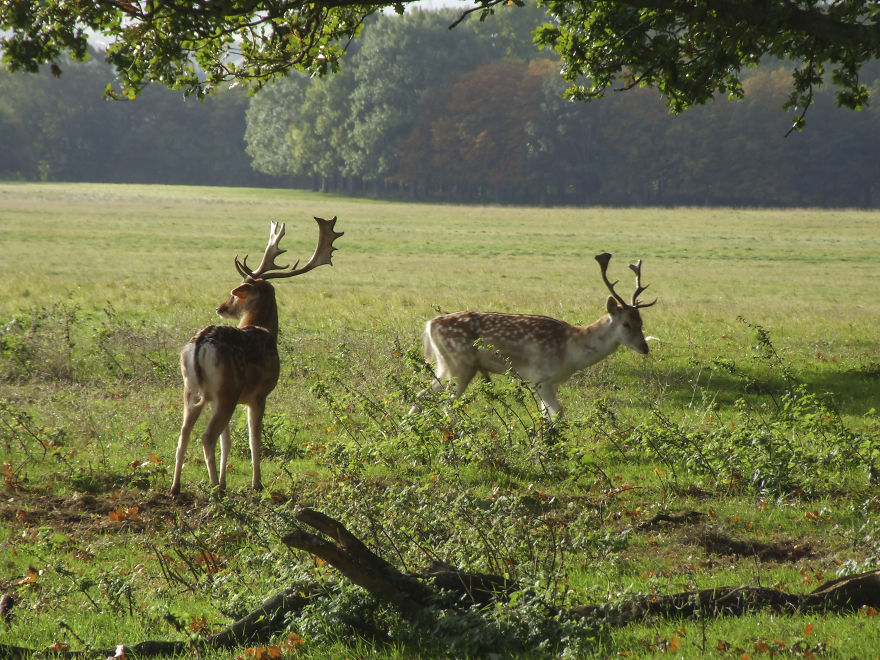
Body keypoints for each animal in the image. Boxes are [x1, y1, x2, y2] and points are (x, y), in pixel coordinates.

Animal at [170, 217, 343, 497]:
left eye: (234, 294)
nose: (221, 307)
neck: (265, 329)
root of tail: (199, 345)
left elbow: (228, 440)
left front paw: (227, 480)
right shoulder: (259, 394)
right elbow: (254, 438)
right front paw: (256, 483)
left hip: (192, 389)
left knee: (184, 432)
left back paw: (177, 487)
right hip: (227, 390)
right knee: (206, 435)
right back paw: (214, 488)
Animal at [410, 253, 656, 421]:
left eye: (641, 322)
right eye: (626, 323)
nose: (645, 348)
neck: (571, 350)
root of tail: (430, 324)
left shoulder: (550, 382)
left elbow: (546, 415)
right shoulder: (540, 377)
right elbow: (557, 413)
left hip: (446, 365)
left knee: (422, 394)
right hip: (460, 365)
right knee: (446, 404)